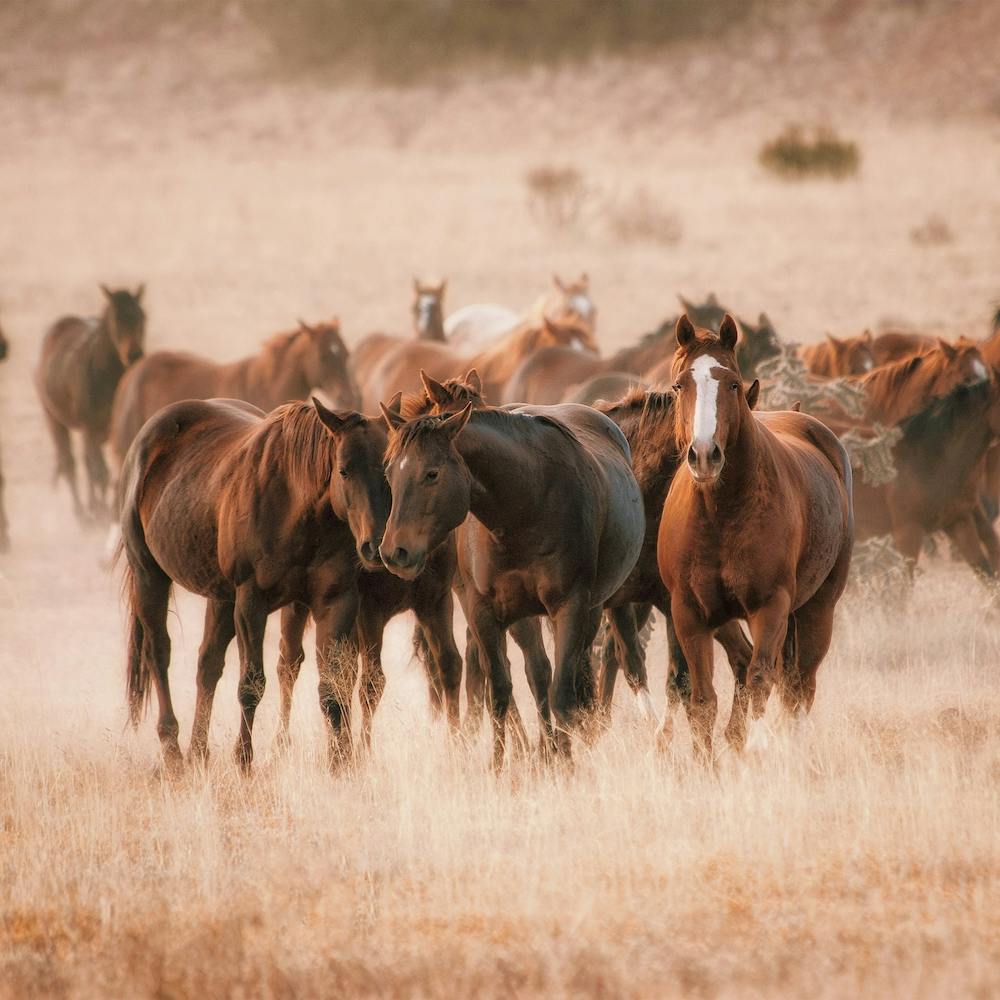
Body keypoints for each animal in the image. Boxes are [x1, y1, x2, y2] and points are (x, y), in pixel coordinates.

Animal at [35, 284, 146, 522]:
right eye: (116, 319)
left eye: (142, 317)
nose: (135, 354)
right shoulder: (90, 428)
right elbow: (98, 472)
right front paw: (101, 513)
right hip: (55, 421)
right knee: (71, 464)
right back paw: (83, 515)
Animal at [118, 396, 389, 772]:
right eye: (344, 470)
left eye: (389, 470)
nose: (374, 547)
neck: (298, 507)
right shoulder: (251, 603)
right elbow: (252, 683)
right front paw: (243, 760)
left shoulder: (335, 602)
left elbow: (332, 686)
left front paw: (341, 762)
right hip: (150, 577)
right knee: (159, 653)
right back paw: (172, 750)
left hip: (220, 598)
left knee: (208, 664)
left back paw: (198, 751)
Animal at [378, 401, 645, 768]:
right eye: (390, 474)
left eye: (432, 474)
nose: (394, 552)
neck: (525, 504)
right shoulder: (483, 613)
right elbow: (501, 693)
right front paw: (499, 768)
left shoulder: (571, 607)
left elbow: (563, 694)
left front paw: (566, 765)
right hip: (523, 617)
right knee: (537, 673)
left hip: (590, 611)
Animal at [658, 315, 854, 760]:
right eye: (679, 385)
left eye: (732, 384)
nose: (704, 455)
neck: (720, 514)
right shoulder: (689, 614)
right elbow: (703, 701)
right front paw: (707, 763)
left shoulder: (770, 607)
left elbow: (760, 681)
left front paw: (750, 748)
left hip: (818, 609)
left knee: (798, 686)